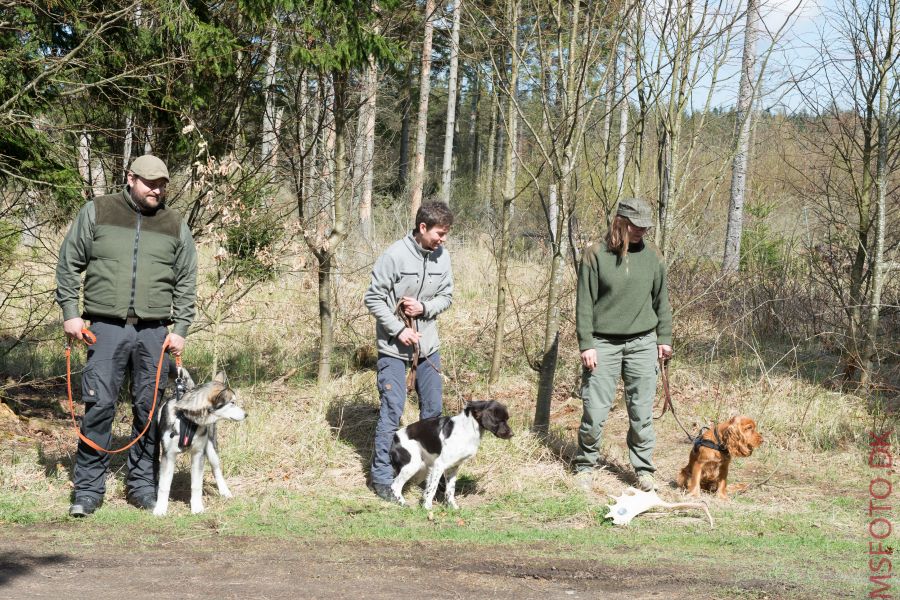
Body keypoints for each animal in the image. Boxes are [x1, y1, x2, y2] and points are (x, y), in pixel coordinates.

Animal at [154, 366, 246, 516]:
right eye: (232, 403)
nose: (246, 414)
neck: (188, 419)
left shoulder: (198, 454)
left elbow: (196, 485)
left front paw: (197, 507)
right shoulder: (168, 455)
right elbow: (164, 486)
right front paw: (160, 508)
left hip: (211, 449)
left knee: (216, 470)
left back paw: (224, 491)